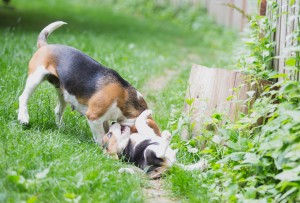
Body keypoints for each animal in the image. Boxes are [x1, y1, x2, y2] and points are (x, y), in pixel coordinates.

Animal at [17, 21, 161, 144]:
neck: (125, 97)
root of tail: (45, 47)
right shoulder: (94, 117)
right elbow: (101, 136)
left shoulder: (104, 119)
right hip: (35, 77)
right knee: (23, 97)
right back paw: (23, 118)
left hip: (63, 93)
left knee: (58, 110)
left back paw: (61, 128)